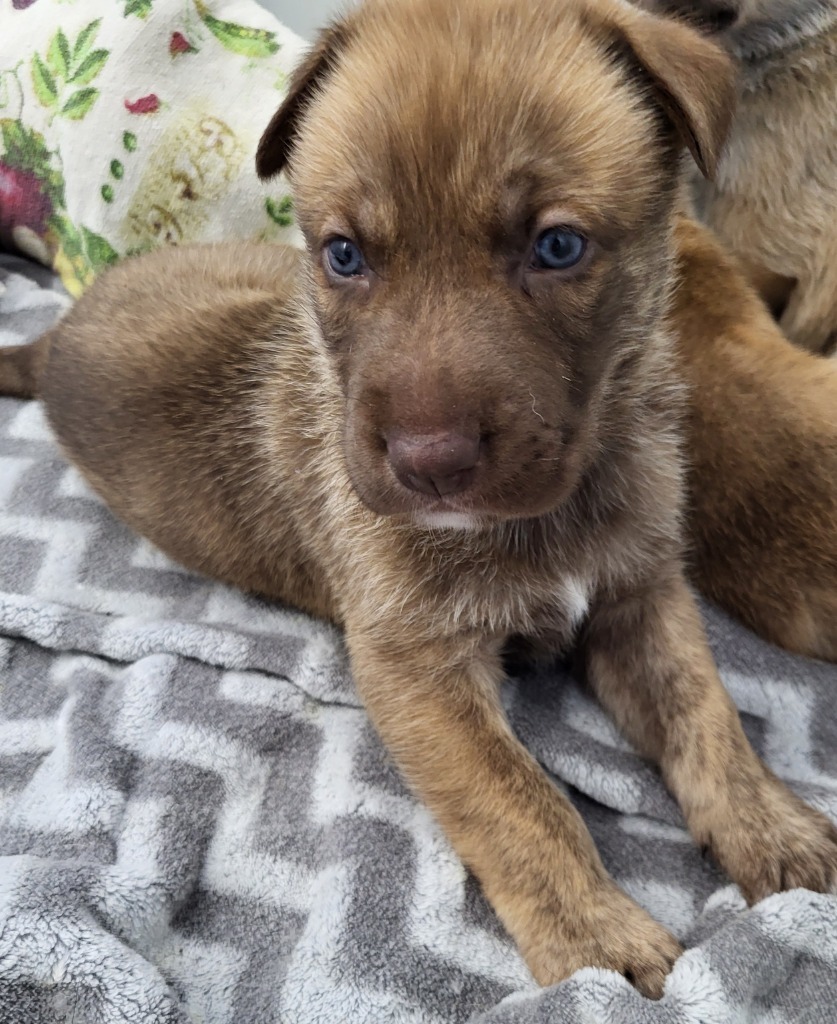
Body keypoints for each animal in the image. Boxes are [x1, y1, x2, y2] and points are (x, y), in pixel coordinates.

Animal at [1, 0, 835, 999]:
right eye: (344, 255)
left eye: (557, 246)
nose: (426, 464)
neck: (543, 517)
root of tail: (55, 341)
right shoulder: (415, 666)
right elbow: (520, 802)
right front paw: (595, 939)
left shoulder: (643, 597)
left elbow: (707, 720)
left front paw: (772, 832)